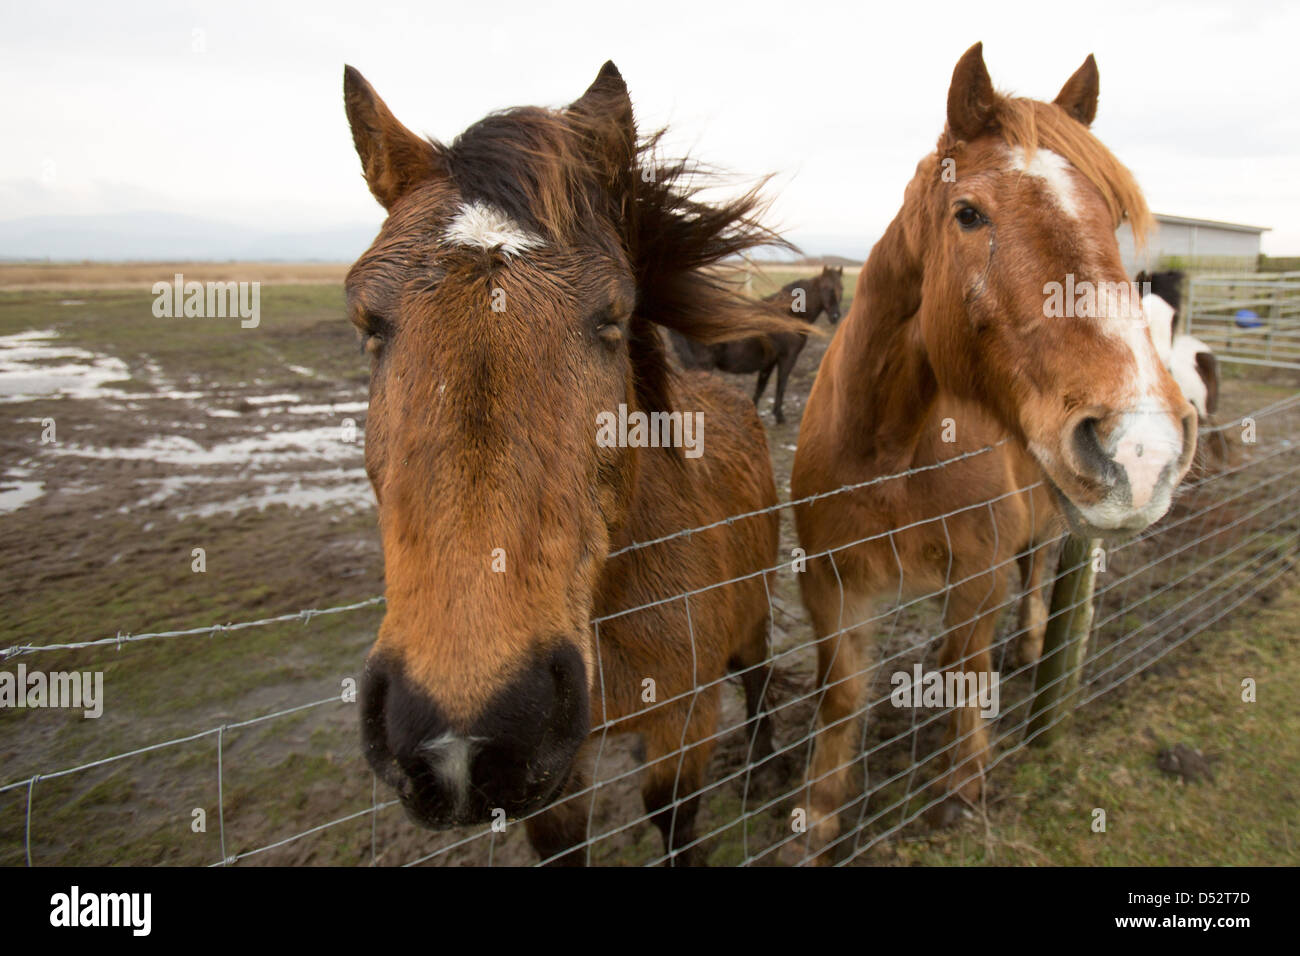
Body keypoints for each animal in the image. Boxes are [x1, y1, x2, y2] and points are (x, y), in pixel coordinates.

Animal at [340, 61, 795, 868]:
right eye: (367, 321)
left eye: (612, 317)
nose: (467, 732)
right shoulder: (557, 775)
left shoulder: (684, 722)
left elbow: (676, 822)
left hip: (750, 618)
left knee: (760, 677)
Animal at [670, 264, 842, 424]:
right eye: (826, 288)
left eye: (841, 288)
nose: (835, 317)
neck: (789, 315)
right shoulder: (787, 359)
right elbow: (781, 385)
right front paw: (779, 416)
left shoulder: (769, 363)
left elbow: (761, 388)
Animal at [785, 44, 1190, 863]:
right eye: (969, 214)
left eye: (1111, 219)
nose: (1143, 451)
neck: (888, 452)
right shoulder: (832, 584)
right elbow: (840, 694)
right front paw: (819, 815)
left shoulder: (978, 573)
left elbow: (961, 665)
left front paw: (961, 783)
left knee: (1038, 574)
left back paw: (1033, 646)